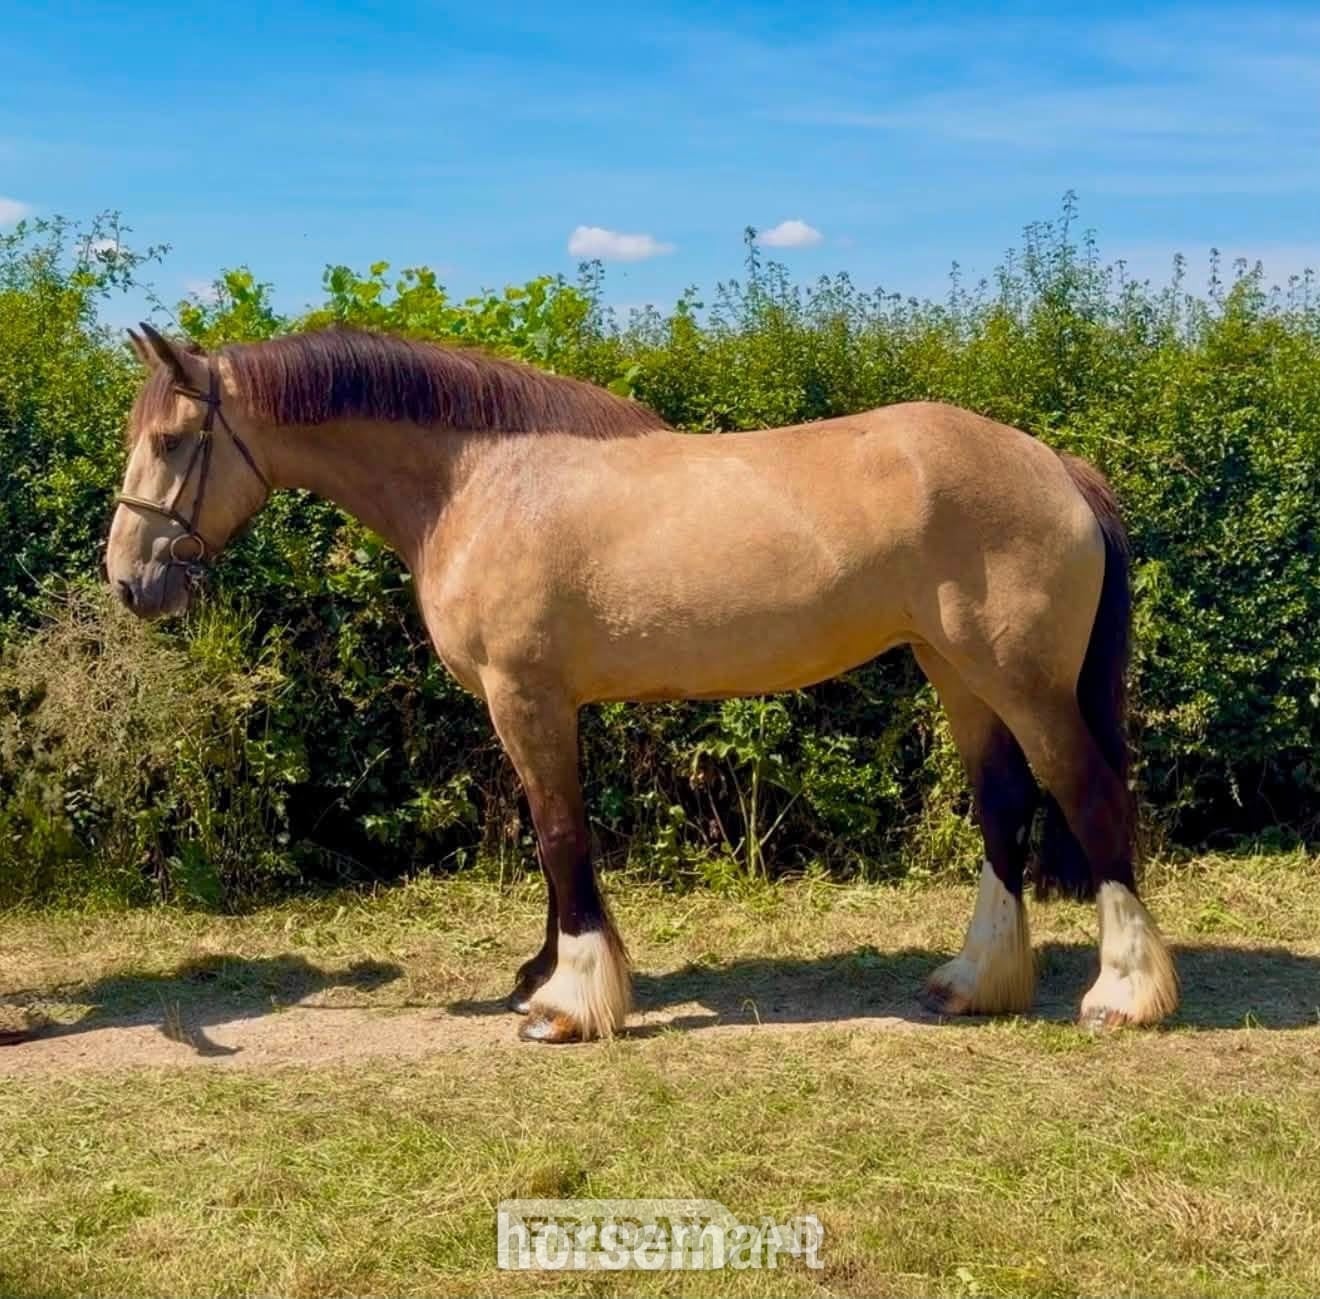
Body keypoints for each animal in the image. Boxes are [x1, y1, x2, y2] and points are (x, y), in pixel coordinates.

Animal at [105, 323, 1178, 1043]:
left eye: (169, 442)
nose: (128, 579)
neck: (477, 481)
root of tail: (1054, 465)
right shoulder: (530, 707)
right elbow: (552, 843)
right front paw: (542, 974)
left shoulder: (528, 697)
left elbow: (560, 837)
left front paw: (567, 1003)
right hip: (957, 671)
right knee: (1004, 804)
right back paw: (972, 981)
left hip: (1022, 681)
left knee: (1089, 794)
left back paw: (1124, 994)